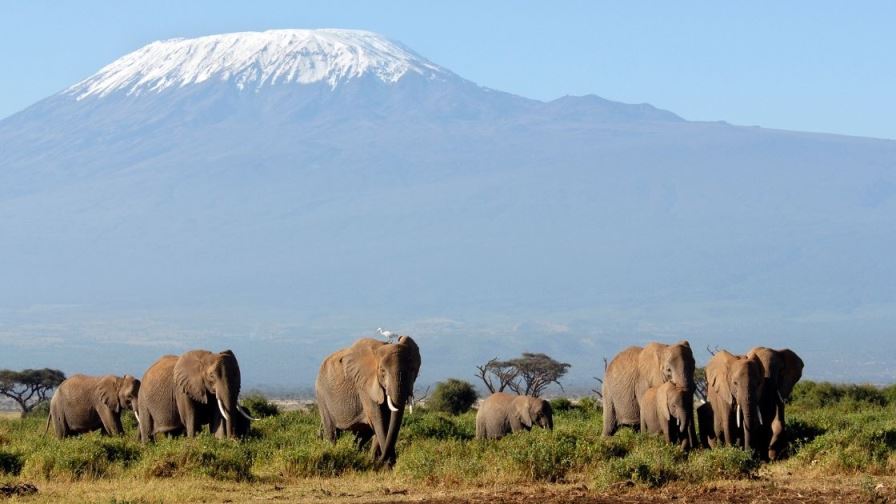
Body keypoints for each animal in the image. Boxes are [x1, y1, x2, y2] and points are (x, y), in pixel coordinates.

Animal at [316, 335, 421, 465]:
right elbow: (379, 419)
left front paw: (380, 463)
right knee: (332, 433)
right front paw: (386, 464)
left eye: (412, 370)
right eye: (382, 371)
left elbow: (385, 420)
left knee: (362, 436)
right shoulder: (364, 386)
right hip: (321, 395)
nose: (385, 459)